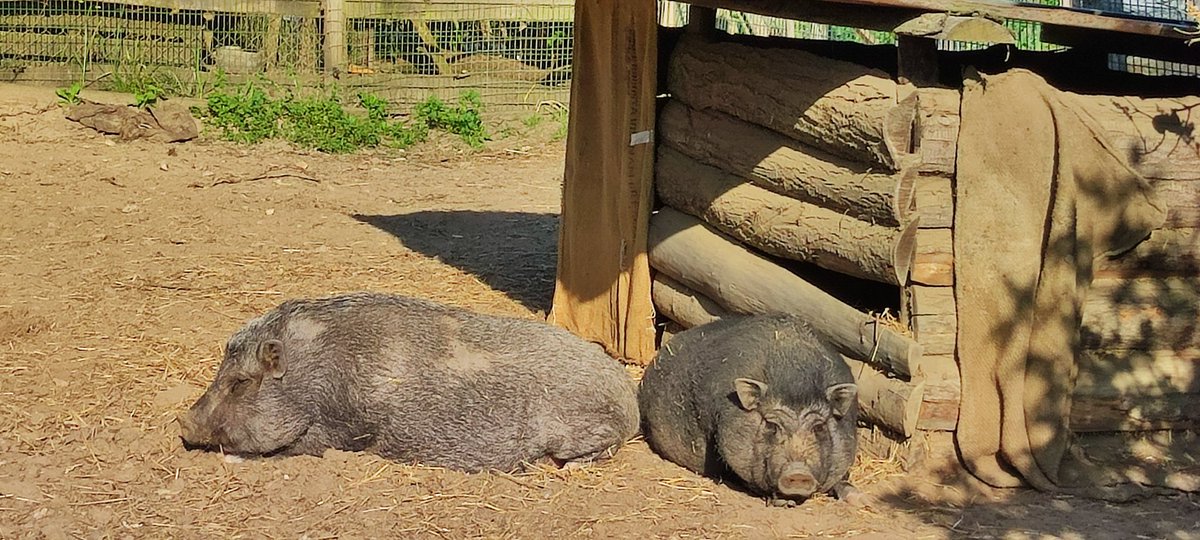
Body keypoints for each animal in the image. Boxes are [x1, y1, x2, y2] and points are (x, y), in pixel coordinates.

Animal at [177, 292, 640, 473]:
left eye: (240, 382)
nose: (183, 423)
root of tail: (628, 397)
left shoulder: (342, 429)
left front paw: (232, 461)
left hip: (586, 431)